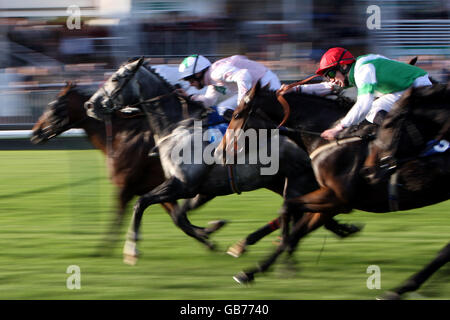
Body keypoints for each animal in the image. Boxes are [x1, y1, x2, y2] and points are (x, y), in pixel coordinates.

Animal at [83, 57, 358, 262]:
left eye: (115, 78)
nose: (89, 105)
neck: (177, 127)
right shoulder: (198, 189)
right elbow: (178, 214)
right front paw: (210, 231)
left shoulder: (183, 184)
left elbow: (143, 203)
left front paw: (131, 250)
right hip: (283, 182)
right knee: (305, 210)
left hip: (298, 180)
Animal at [229, 82, 450, 298]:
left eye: (237, 115)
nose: (224, 149)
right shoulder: (331, 202)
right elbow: (297, 229)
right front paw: (253, 271)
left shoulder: (337, 198)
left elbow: (287, 208)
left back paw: (403, 288)